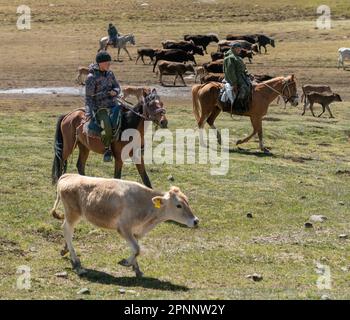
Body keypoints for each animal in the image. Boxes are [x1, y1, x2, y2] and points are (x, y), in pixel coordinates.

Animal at [50, 172, 200, 278]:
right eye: (178, 205)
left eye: (187, 201)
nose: (196, 220)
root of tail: (69, 175)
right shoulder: (123, 228)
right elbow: (137, 249)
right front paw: (126, 263)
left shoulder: (135, 231)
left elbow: (135, 249)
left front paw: (137, 269)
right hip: (72, 213)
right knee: (67, 229)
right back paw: (76, 261)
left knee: (69, 231)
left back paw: (65, 250)